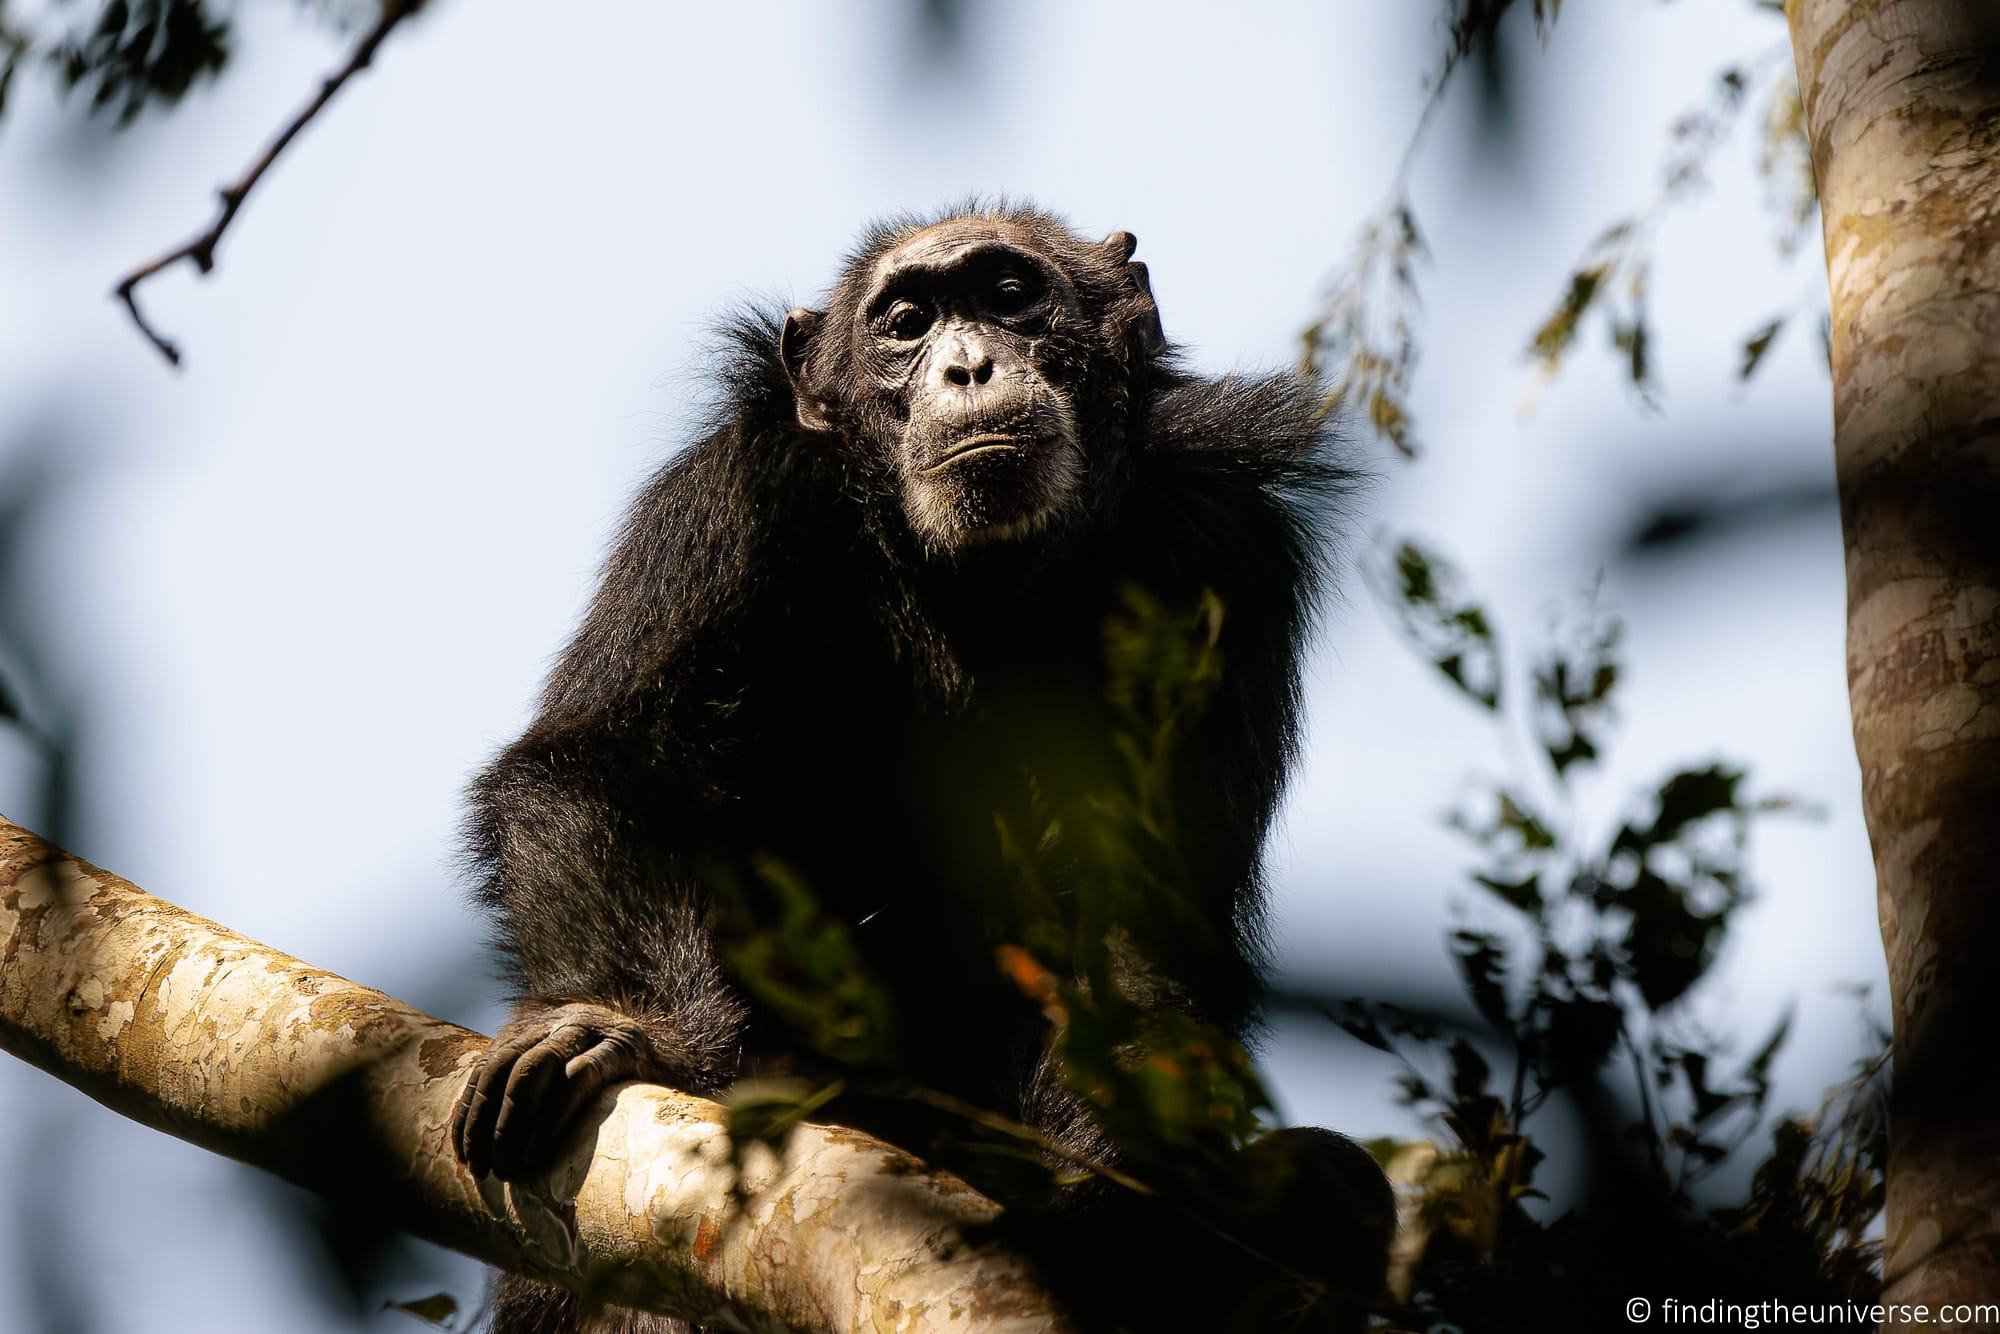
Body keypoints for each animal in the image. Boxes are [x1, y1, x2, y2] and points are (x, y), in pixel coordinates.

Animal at [454, 204, 1392, 1328]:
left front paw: (1115, 1197)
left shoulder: (1223, 548)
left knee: (1340, 1189)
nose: (967, 362)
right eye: (904, 322)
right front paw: (619, 1026)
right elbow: (605, 760)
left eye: (1009, 296)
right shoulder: (729, 498)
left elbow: (1136, 912)